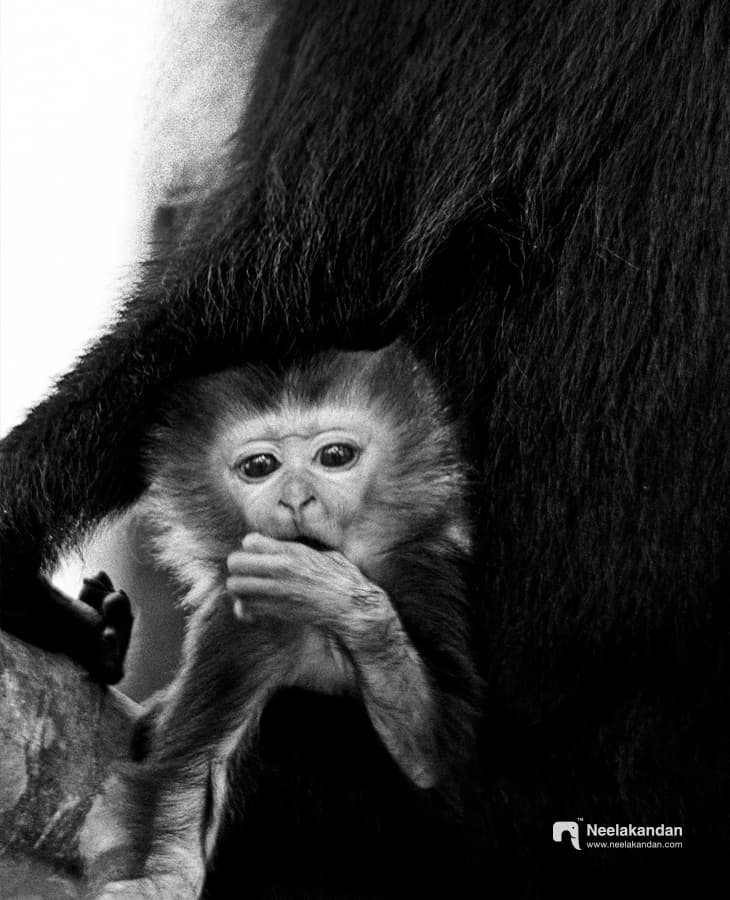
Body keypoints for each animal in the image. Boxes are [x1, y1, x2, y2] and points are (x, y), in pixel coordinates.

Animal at [85, 343, 479, 898]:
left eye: (335, 457)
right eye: (260, 466)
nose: (295, 499)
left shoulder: (426, 579)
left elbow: (435, 760)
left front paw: (327, 588)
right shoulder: (229, 630)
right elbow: (185, 770)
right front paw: (163, 880)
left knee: (295, 716)